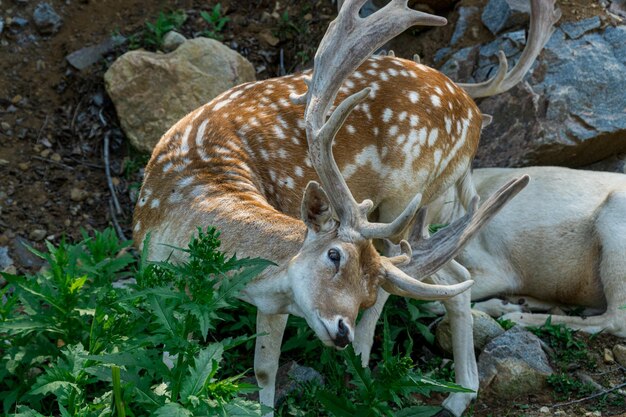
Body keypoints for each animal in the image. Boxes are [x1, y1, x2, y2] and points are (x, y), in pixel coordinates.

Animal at [133, 0, 536, 416]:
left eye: (365, 294)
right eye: (333, 255)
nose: (342, 330)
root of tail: (473, 112)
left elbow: (264, 370)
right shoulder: (161, 275)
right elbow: (189, 361)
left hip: (407, 198)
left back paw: (381, 377)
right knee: (454, 275)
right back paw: (458, 395)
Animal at [424, 164, 624, 336]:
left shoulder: (496, 270)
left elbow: (437, 300)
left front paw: (505, 308)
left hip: (614, 221)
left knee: (616, 320)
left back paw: (516, 317)